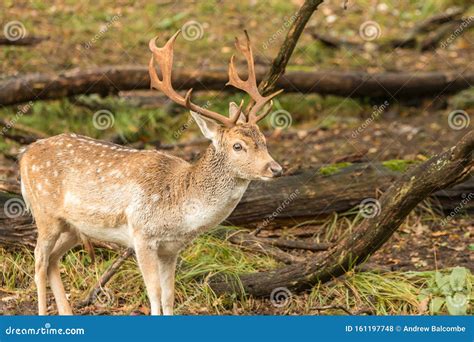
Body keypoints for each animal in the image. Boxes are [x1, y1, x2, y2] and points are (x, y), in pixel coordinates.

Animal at [20, 30, 284, 316]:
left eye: (264, 140)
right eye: (238, 146)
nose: (276, 168)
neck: (180, 205)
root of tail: (24, 154)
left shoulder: (171, 248)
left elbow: (168, 296)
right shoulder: (142, 235)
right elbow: (154, 294)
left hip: (72, 226)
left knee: (52, 260)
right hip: (44, 213)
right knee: (39, 261)